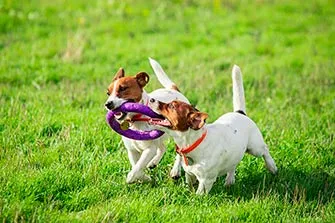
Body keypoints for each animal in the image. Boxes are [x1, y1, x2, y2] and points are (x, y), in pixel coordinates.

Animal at [149, 64, 278, 193]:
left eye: (172, 106)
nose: (151, 99)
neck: (194, 143)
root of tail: (240, 113)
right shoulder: (189, 174)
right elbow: (190, 186)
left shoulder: (206, 181)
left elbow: (198, 194)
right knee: (233, 164)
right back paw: (229, 181)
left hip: (255, 147)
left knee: (265, 150)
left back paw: (272, 167)